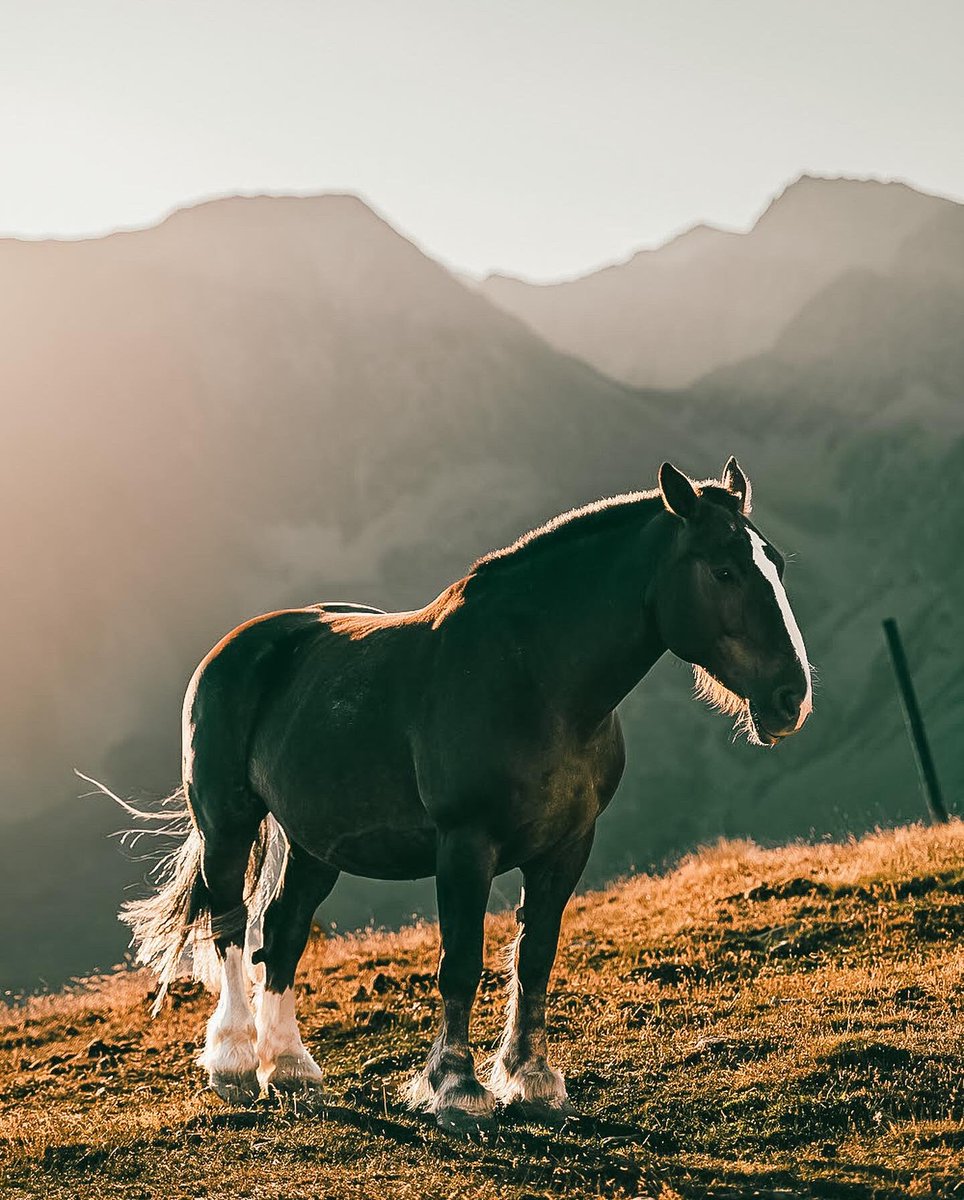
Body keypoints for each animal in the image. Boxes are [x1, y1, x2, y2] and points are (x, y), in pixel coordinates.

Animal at [121, 457, 812, 1133]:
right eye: (723, 570)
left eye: (776, 564)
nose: (791, 697)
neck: (537, 679)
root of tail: (237, 647)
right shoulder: (465, 845)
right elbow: (461, 960)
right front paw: (456, 1088)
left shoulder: (567, 846)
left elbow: (535, 957)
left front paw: (532, 1082)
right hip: (228, 825)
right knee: (230, 926)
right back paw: (236, 1064)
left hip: (316, 844)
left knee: (282, 930)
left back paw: (290, 1069)